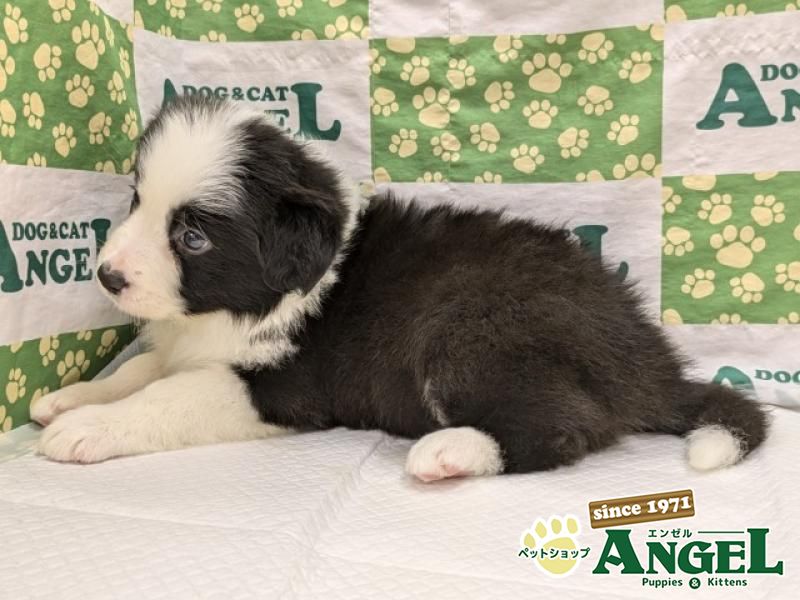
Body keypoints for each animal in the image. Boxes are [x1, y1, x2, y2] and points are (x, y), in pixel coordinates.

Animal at [31, 96, 767, 481]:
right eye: (136, 201)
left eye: (192, 238)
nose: (107, 275)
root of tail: (647, 361)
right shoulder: (193, 342)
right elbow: (146, 368)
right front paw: (73, 398)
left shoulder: (284, 384)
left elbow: (169, 395)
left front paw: (88, 428)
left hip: (474, 330)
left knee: (565, 428)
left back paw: (451, 451)